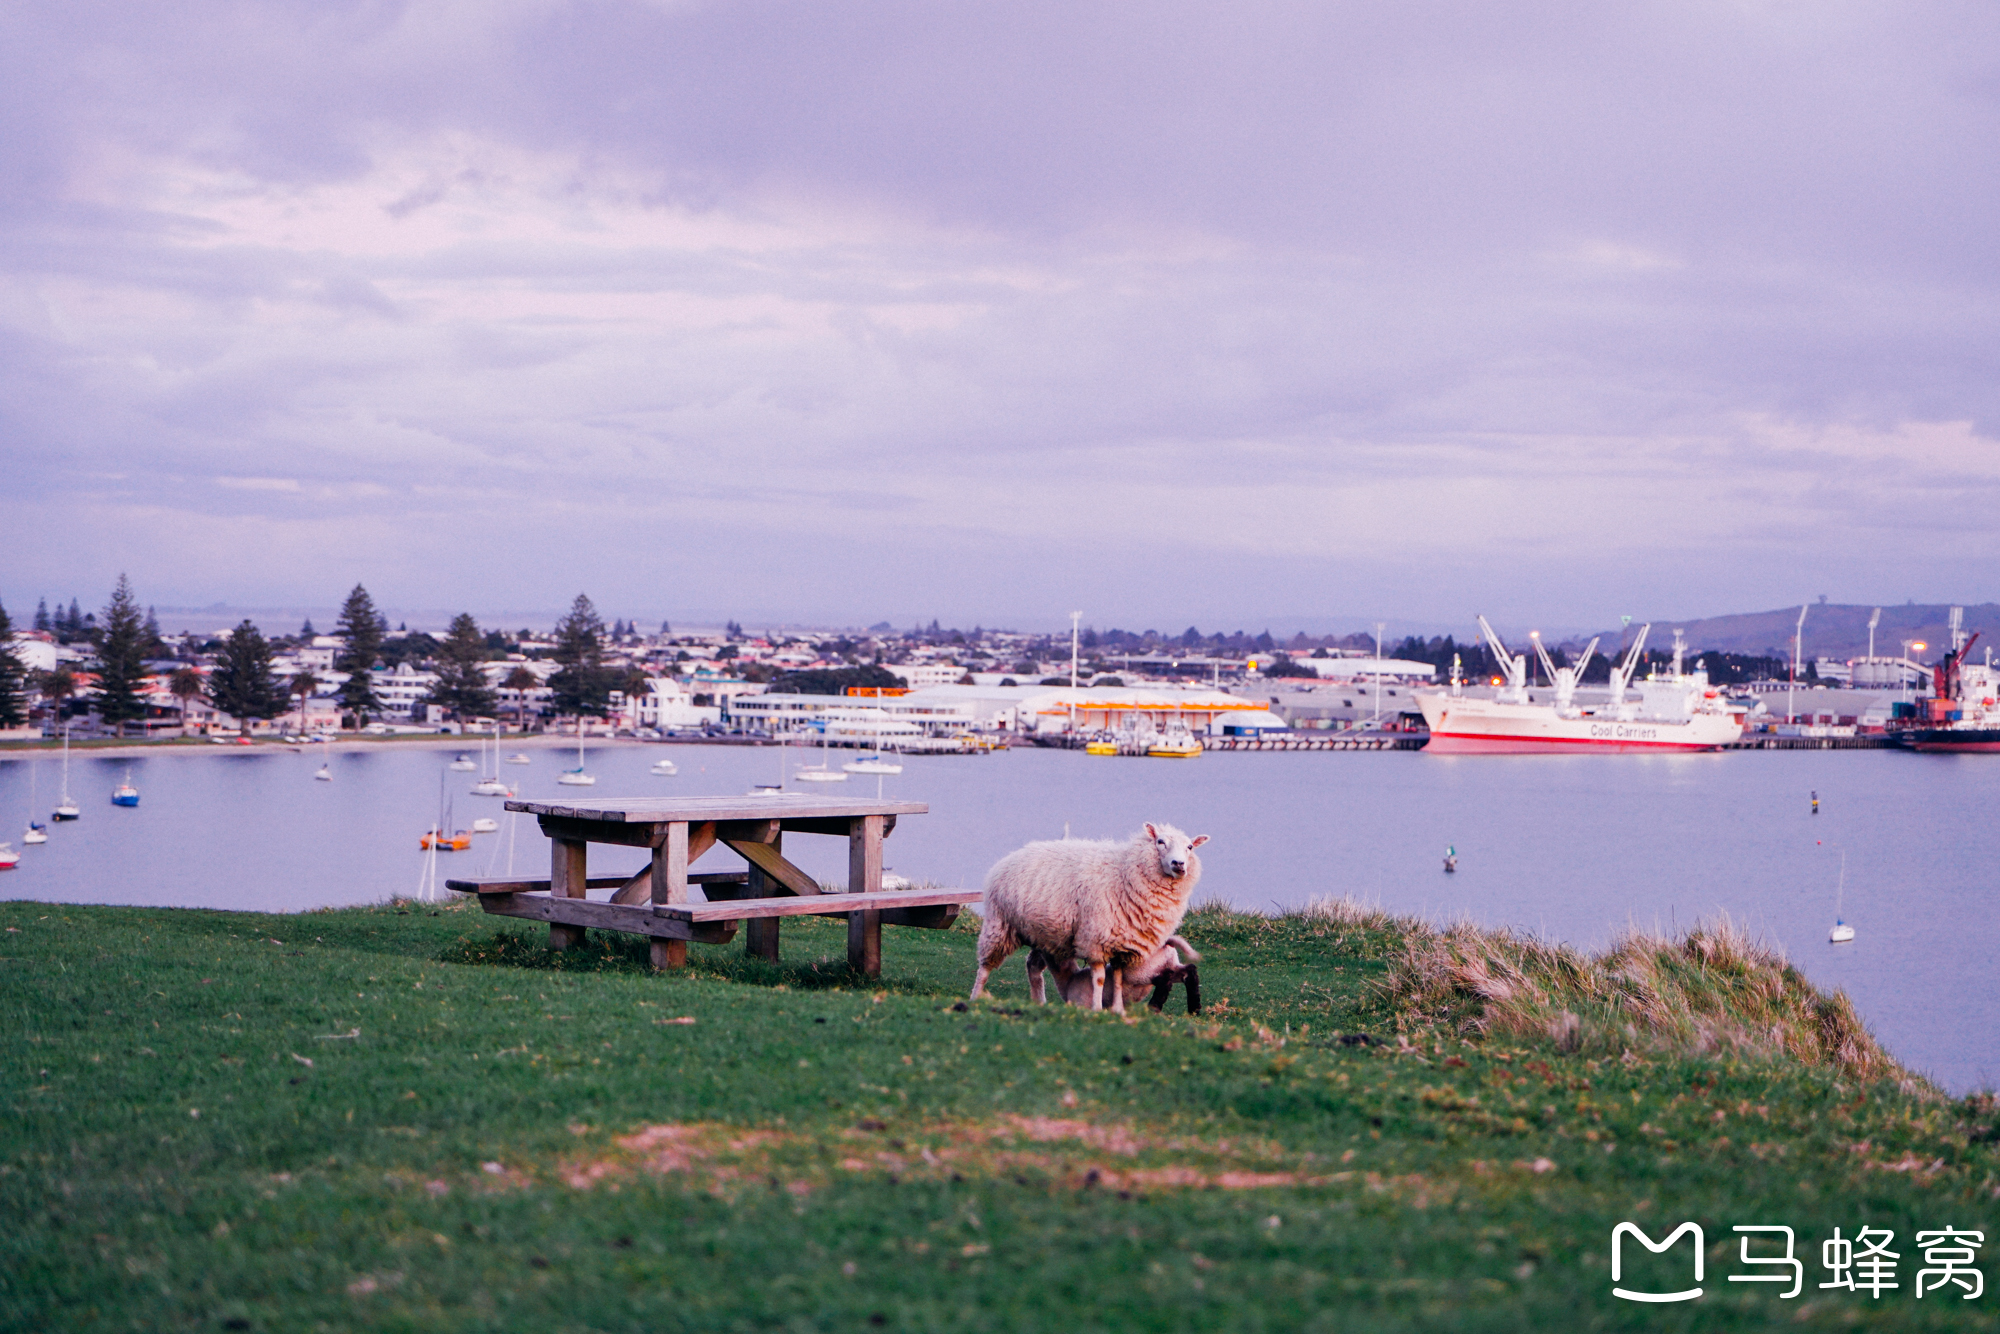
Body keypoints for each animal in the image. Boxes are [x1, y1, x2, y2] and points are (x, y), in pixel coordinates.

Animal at [964, 824, 1200, 1012]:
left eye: (1190, 847)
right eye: (1160, 841)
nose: (1179, 864)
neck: (1124, 871)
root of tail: (1013, 855)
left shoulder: (1122, 944)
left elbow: (1118, 979)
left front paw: (1117, 1009)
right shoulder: (1095, 939)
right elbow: (1100, 978)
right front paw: (1096, 1008)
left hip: (1045, 936)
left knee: (1033, 966)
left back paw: (1039, 1002)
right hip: (1000, 924)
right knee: (985, 966)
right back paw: (975, 997)